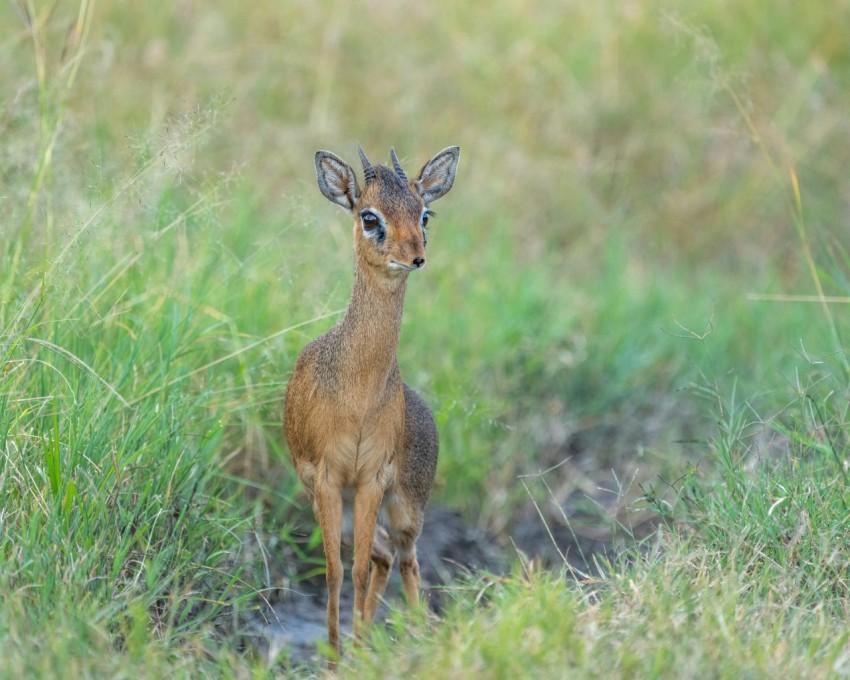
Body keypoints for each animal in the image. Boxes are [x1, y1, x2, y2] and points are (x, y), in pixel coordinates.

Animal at [283, 143, 460, 661]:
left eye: (424, 212)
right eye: (369, 216)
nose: (415, 256)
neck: (358, 390)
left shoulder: (371, 479)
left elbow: (357, 571)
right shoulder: (327, 480)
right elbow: (337, 572)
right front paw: (335, 656)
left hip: (404, 506)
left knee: (406, 559)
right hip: (340, 506)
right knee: (383, 557)